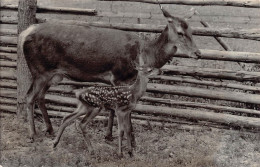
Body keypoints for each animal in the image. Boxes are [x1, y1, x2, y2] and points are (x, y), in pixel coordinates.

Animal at [18, 4, 201, 142]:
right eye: (180, 32)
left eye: (192, 31)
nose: (198, 53)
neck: (145, 53)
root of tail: (25, 33)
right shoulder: (120, 76)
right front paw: (128, 140)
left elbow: (112, 109)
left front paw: (108, 136)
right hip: (40, 70)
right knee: (29, 96)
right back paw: (32, 134)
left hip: (52, 74)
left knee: (40, 96)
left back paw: (50, 129)